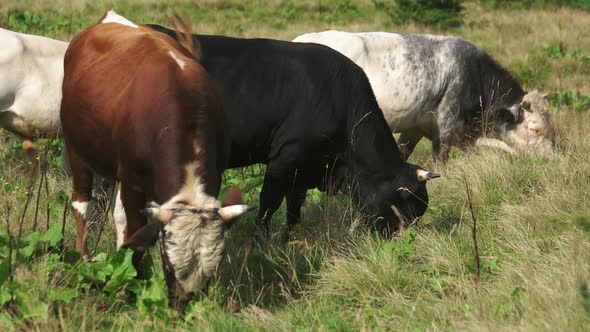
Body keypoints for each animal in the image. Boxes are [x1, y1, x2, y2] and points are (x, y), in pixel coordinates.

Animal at [61, 11, 251, 310]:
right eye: (168, 265)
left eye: (211, 272)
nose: (180, 309)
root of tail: (110, 19)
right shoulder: (133, 182)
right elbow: (137, 234)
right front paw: (128, 285)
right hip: (76, 148)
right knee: (81, 203)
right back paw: (83, 258)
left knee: (116, 216)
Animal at [294, 30, 556, 161]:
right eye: (534, 129)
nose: (553, 156)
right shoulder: (447, 121)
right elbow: (441, 157)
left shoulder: (416, 126)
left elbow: (402, 153)